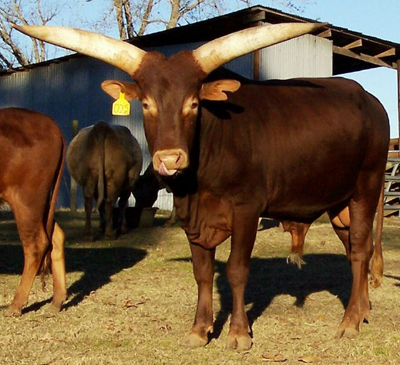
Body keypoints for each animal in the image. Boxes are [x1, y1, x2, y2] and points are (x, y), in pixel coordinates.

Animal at [0, 107, 66, 316]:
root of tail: (48, 121)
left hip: (27, 200)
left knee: (36, 244)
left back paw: (16, 305)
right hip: (41, 204)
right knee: (55, 236)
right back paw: (56, 301)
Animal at [14, 20, 390, 350]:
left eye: (193, 103)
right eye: (146, 104)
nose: (170, 159)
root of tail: (371, 101)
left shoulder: (246, 209)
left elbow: (236, 270)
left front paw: (238, 334)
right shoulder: (189, 215)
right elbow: (202, 272)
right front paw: (199, 329)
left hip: (366, 188)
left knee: (360, 250)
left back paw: (350, 322)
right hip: (339, 203)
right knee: (355, 251)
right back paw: (362, 310)